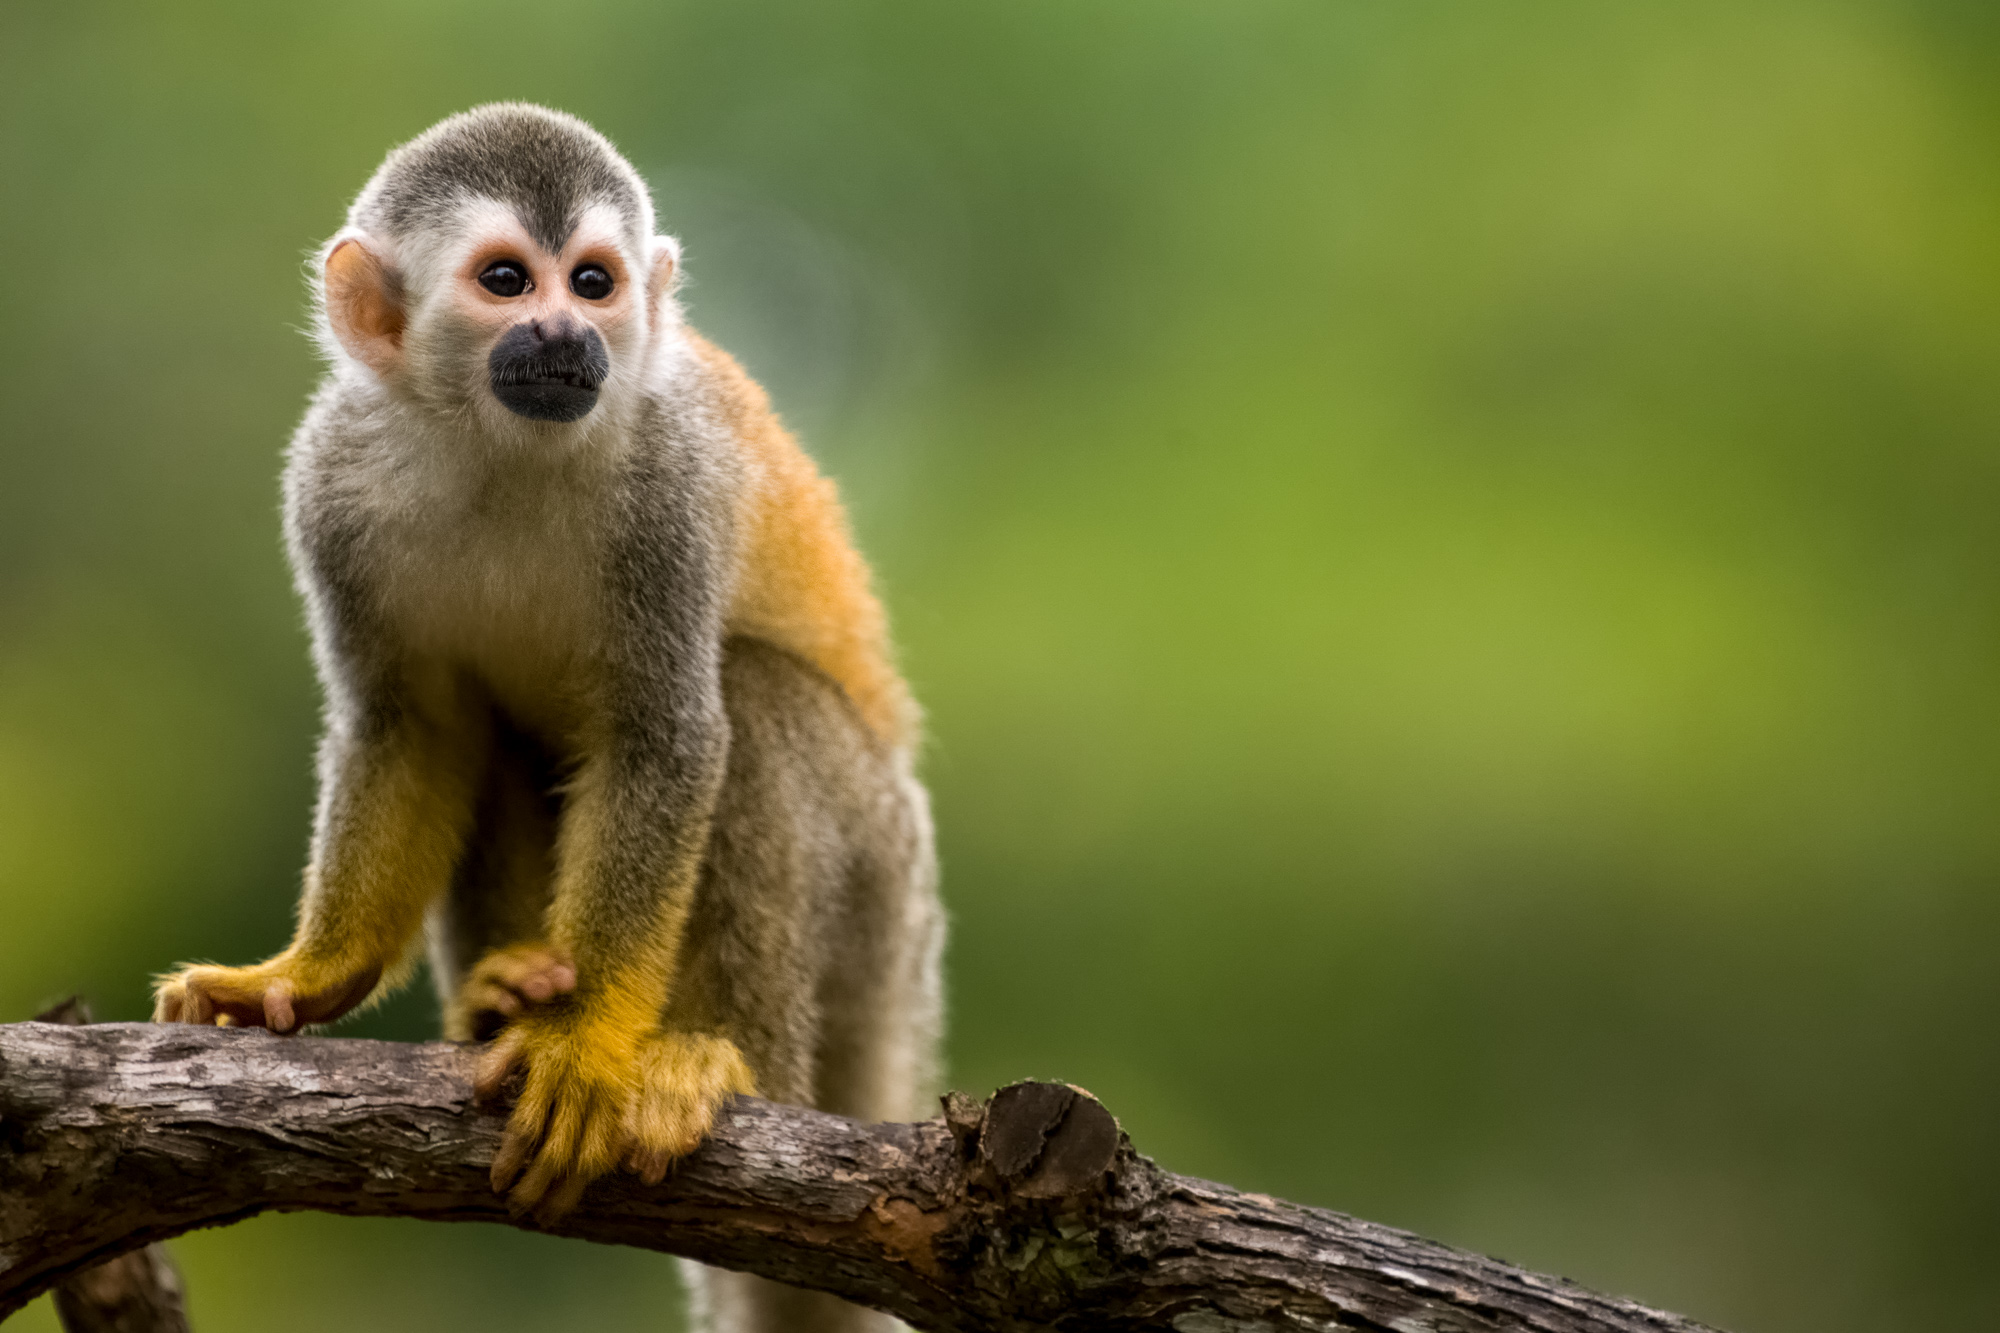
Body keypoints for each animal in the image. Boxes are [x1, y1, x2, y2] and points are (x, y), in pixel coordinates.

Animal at [151, 103, 943, 1333]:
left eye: (594, 281)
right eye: (507, 281)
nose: (570, 332)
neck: (498, 444)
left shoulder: (670, 483)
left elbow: (666, 736)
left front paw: (585, 1042)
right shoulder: (328, 480)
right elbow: (411, 726)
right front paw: (309, 974)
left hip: (885, 906)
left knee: (754, 702)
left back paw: (716, 1064)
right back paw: (502, 989)